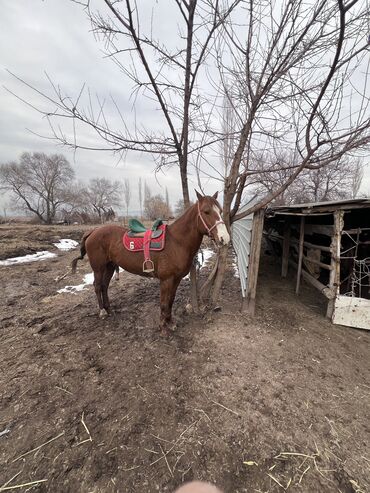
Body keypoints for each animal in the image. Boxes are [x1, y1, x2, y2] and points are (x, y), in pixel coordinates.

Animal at [71, 190, 230, 336]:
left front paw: (170, 322)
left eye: (220, 211)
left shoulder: (176, 279)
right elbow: (164, 303)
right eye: (206, 211)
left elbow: (170, 301)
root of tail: (93, 231)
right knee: (98, 286)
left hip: (109, 266)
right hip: (98, 268)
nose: (224, 238)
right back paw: (102, 311)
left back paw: (109, 310)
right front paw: (163, 327)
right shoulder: (166, 280)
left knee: (104, 286)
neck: (177, 242)